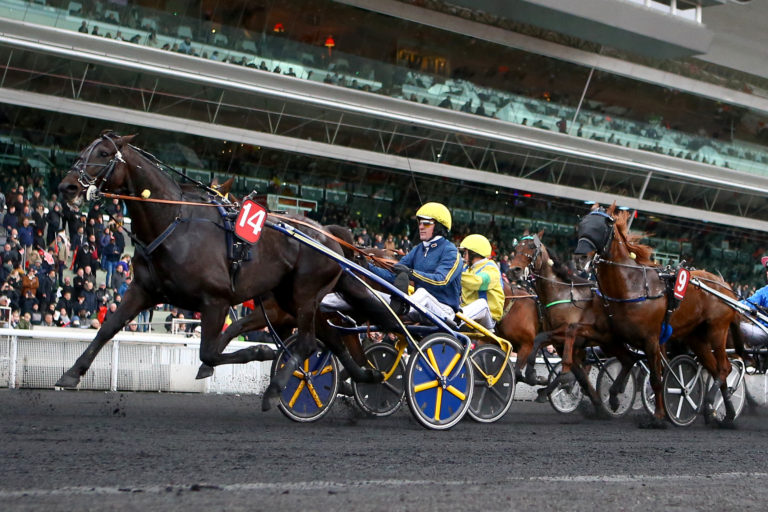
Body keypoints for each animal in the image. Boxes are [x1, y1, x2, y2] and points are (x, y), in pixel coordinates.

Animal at [576, 206, 736, 426]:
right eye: (581, 225)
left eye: (600, 228)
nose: (580, 256)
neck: (631, 285)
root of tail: (725, 286)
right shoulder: (612, 335)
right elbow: (628, 360)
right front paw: (615, 396)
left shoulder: (651, 340)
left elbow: (656, 378)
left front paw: (659, 416)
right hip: (696, 338)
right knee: (713, 368)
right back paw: (725, 414)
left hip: (717, 330)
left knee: (724, 368)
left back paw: (712, 400)